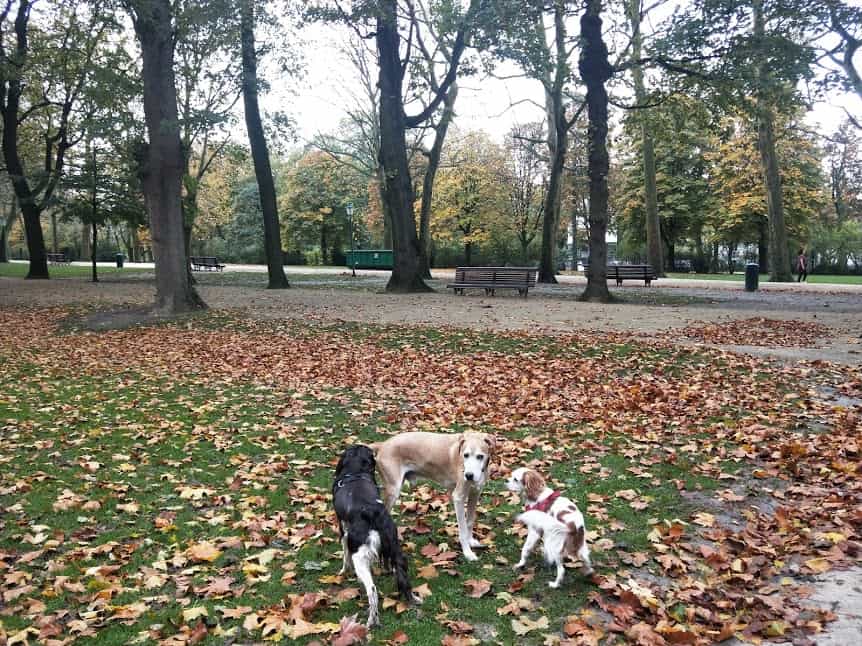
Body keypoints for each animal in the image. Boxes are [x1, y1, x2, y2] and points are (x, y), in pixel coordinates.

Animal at [332, 446, 420, 628]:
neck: (355, 472)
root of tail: (373, 511)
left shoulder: (343, 529)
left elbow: (345, 555)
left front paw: (343, 571)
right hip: (395, 546)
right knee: (403, 576)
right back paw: (413, 598)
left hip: (359, 556)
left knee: (372, 591)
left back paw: (372, 621)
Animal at [372, 432, 500, 564]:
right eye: (465, 455)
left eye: (480, 456)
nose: (469, 475)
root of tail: (382, 445)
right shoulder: (458, 497)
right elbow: (462, 529)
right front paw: (467, 552)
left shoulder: (475, 494)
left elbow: (469, 521)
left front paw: (471, 541)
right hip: (393, 491)